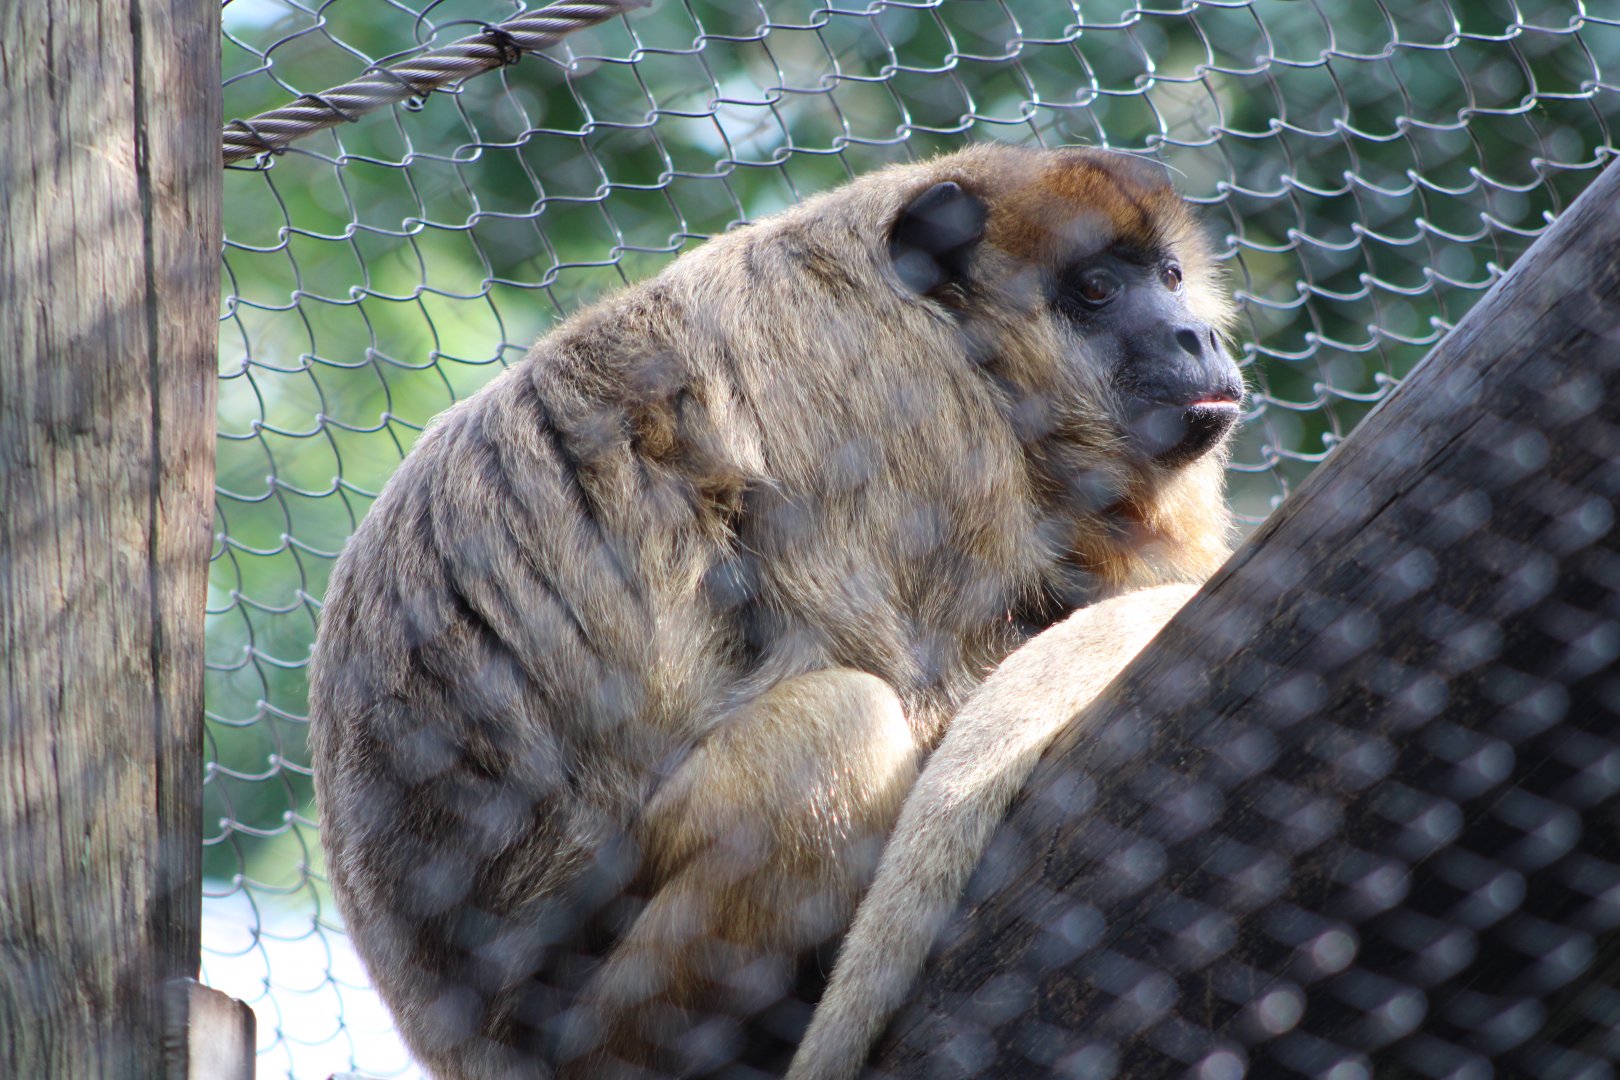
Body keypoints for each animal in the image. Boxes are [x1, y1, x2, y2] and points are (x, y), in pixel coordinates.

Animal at [307, 143, 1242, 1080]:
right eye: (1097, 289)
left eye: (1168, 276)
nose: (1195, 334)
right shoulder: (889, 388)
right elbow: (913, 682)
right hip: (584, 1017)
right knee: (831, 732)